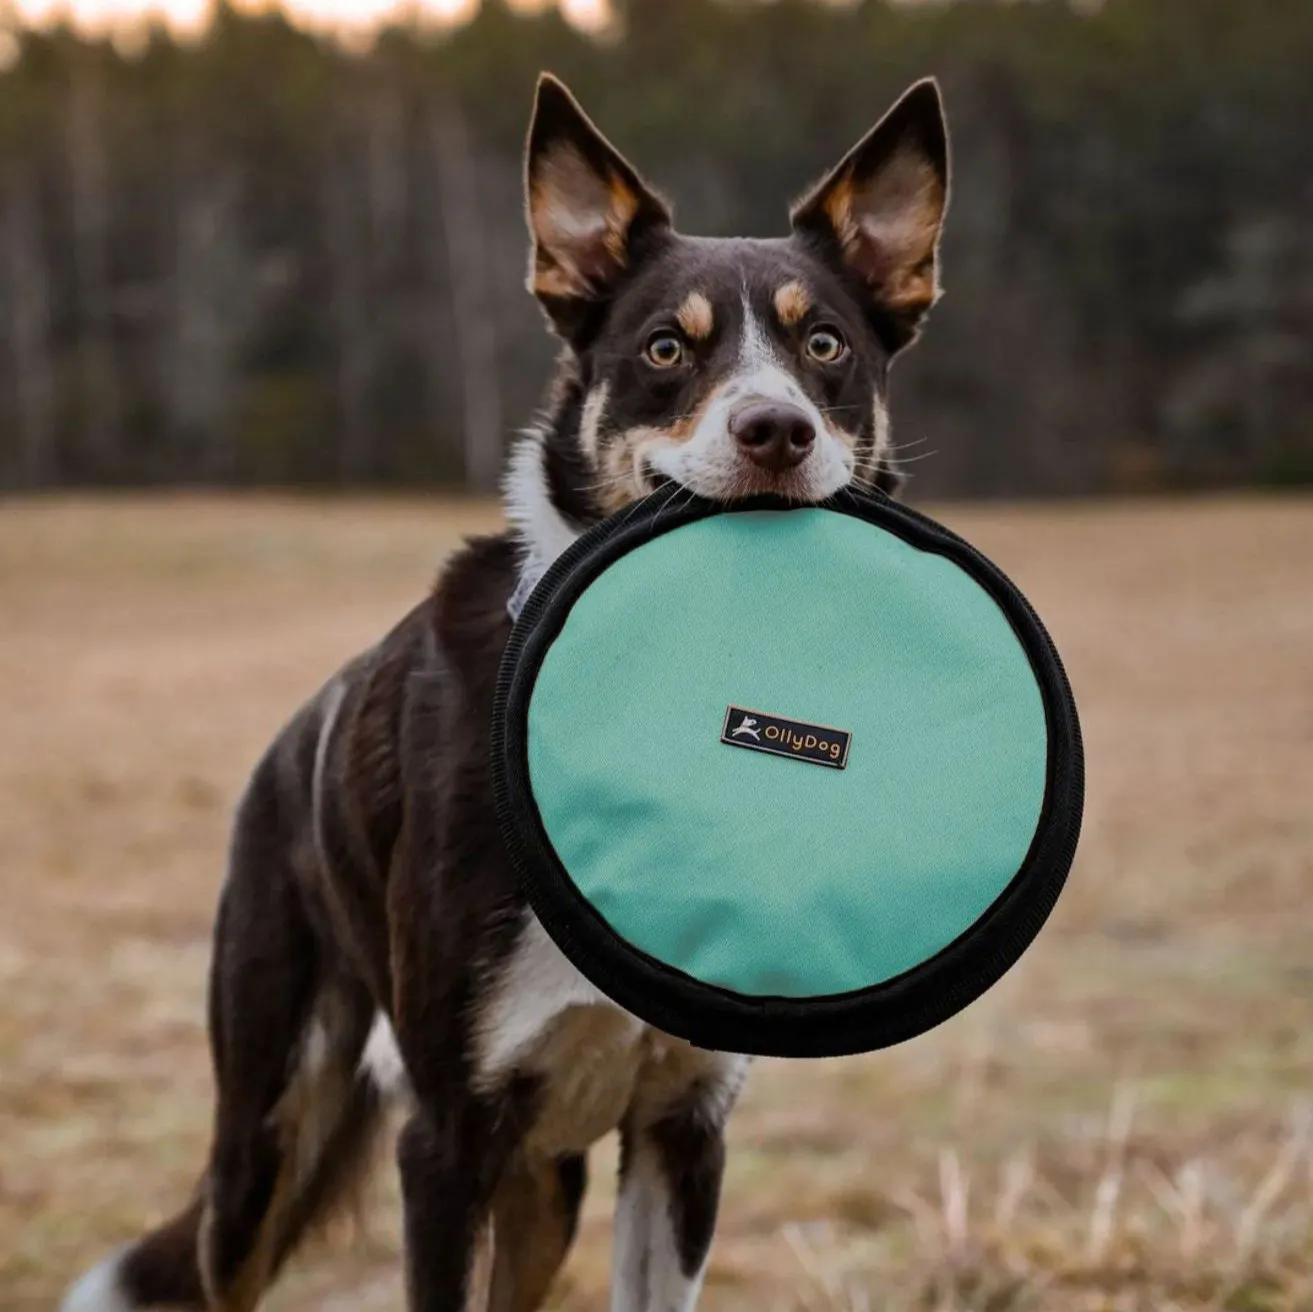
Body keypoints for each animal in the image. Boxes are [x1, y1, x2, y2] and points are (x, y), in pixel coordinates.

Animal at [64, 69, 945, 1312]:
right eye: (665, 349)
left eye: (823, 342)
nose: (775, 429)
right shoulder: (444, 1138)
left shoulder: (683, 1126)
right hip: (266, 1129)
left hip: (545, 1184)